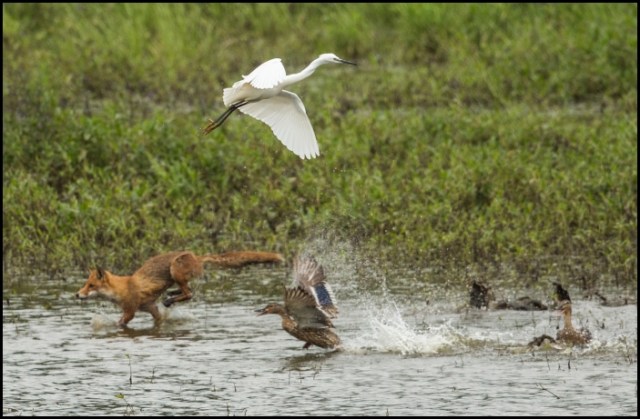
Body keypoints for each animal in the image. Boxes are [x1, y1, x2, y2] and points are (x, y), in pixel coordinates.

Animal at [76, 250, 284, 327]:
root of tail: (197, 256)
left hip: (174, 269)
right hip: (176, 278)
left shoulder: (130, 311)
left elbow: (121, 322)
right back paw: (170, 296)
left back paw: (171, 298)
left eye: (91, 286)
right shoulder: (150, 307)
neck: (123, 288)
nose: (77, 295)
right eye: (85, 284)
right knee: (186, 292)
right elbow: (158, 318)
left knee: (189, 293)